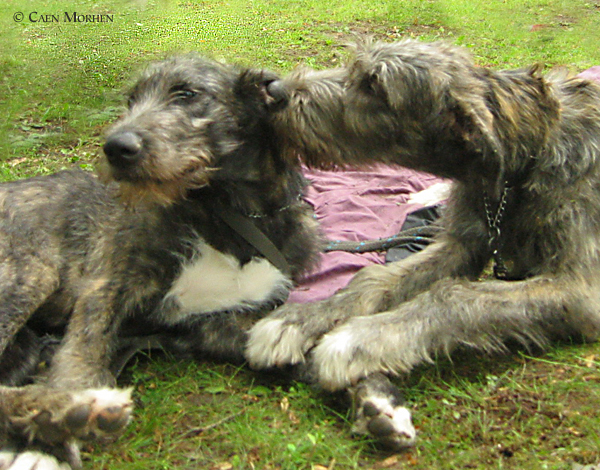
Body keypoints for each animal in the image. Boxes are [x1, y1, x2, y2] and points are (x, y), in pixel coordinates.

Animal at [0, 56, 324, 470]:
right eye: (131, 101)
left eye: (186, 94)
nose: (115, 148)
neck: (230, 217)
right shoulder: (106, 285)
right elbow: (82, 352)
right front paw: (64, 420)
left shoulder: (222, 323)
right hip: (30, 275)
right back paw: (68, 411)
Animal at [246, 38, 600, 396]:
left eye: (374, 86)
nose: (273, 90)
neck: (528, 159)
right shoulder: (461, 241)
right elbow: (375, 278)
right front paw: (301, 319)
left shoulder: (578, 288)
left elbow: (453, 295)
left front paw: (363, 337)